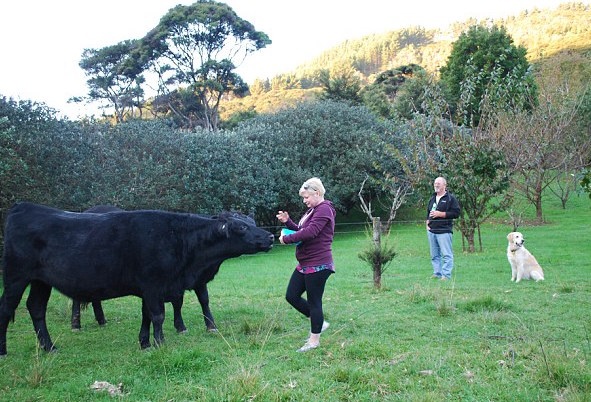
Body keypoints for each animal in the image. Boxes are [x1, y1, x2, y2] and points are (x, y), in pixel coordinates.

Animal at [0, 201, 272, 354]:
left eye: (252, 221)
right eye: (242, 227)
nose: (269, 237)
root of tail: (24, 207)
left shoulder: (153, 287)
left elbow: (147, 316)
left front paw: (145, 343)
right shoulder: (153, 285)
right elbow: (158, 315)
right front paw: (160, 343)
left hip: (41, 281)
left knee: (36, 308)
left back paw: (49, 347)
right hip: (15, 277)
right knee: (6, 308)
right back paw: (4, 349)